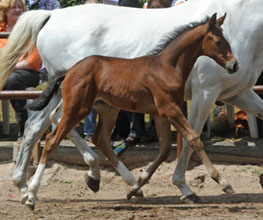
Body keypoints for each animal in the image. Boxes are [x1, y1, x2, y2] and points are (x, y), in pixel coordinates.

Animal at [32, 13, 240, 203]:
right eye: (217, 41)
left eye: (227, 40)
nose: (234, 65)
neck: (168, 67)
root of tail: (70, 70)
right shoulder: (170, 109)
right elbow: (194, 139)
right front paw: (223, 183)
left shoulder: (160, 114)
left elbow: (165, 150)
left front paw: (136, 188)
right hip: (78, 108)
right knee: (51, 140)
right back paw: (31, 194)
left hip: (107, 109)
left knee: (101, 140)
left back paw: (102, 180)